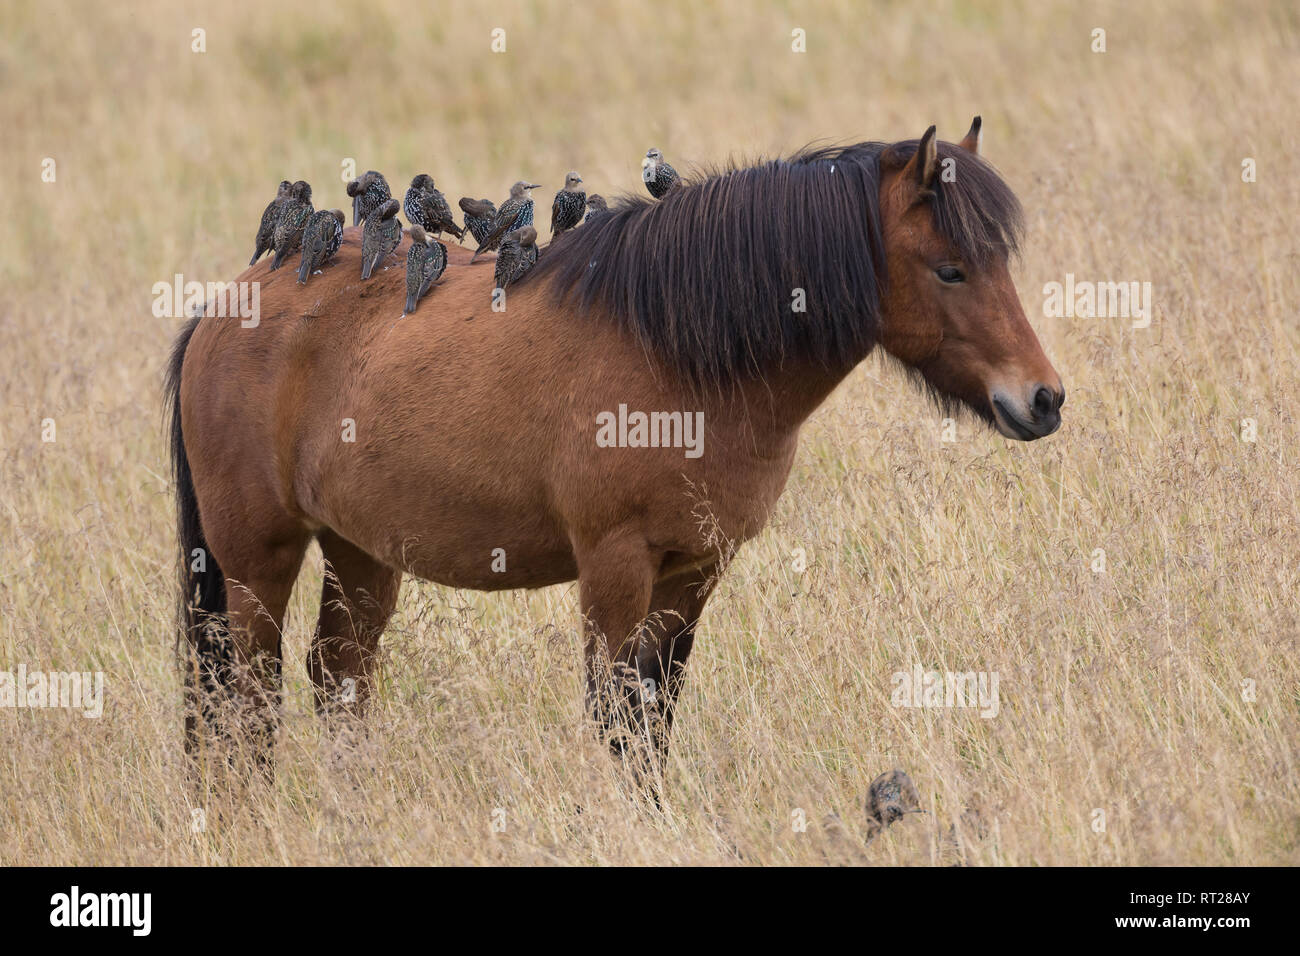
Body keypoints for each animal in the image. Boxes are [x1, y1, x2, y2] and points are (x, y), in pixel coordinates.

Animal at [167, 119, 1066, 780]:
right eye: (949, 269)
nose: (1043, 399)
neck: (679, 352)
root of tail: (225, 309)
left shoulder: (695, 567)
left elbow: (654, 717)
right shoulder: (614, 564)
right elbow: (614, 715)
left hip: (360, 552)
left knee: (337, 679)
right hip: (257, 558)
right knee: (245, 694)